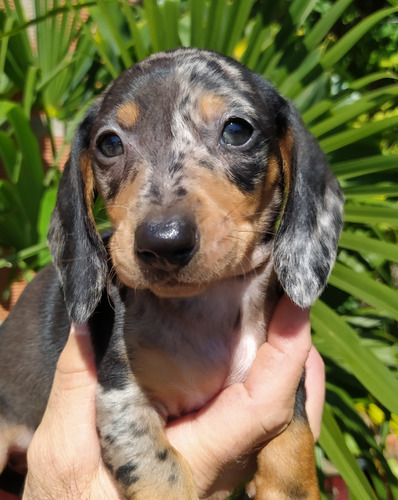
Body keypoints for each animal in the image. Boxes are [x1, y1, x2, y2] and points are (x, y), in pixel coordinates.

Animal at [0, 47, 342, 500]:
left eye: (237, 130)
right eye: (109, 143)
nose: (162, 241)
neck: (207, 308)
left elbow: (295, 427)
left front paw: (289, 482)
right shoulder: (121, 399)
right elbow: (162, 473)